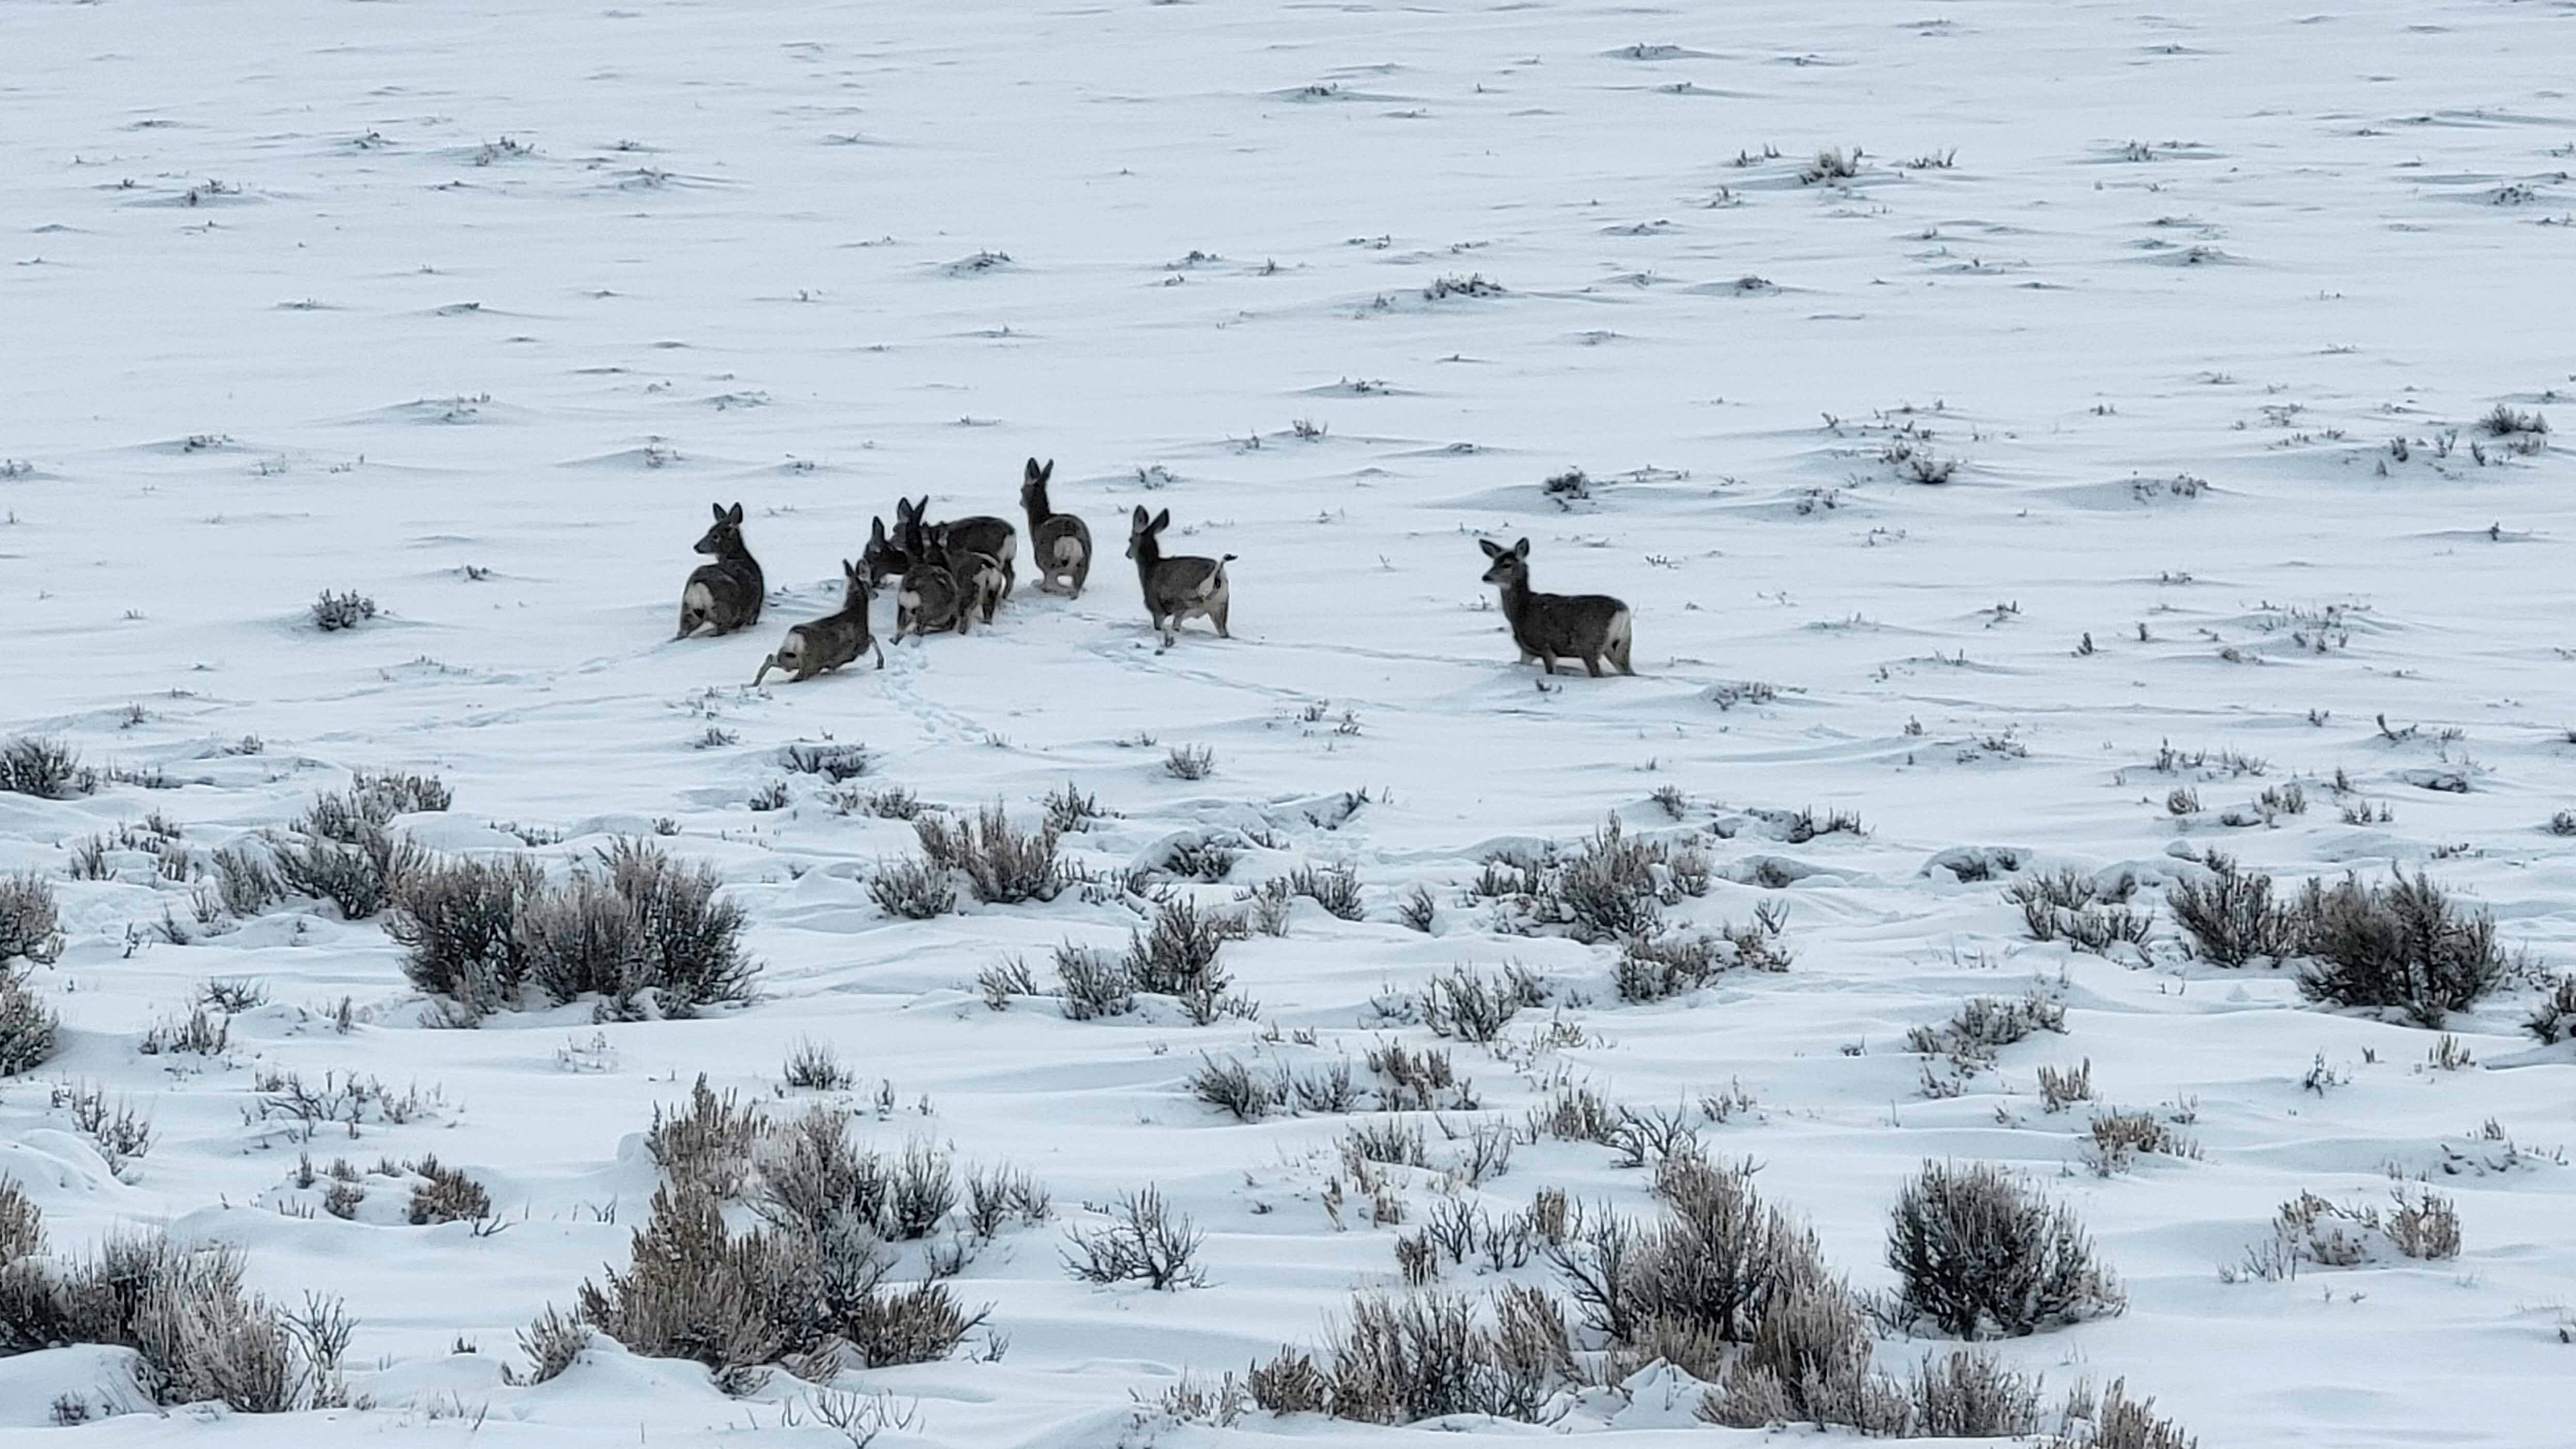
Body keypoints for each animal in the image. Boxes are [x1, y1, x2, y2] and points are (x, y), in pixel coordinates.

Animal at [677, 502, 764, 639]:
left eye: (715, 536)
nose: (696, 547)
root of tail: (697, 586)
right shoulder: (755, 611)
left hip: (688, 611)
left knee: (682, 631)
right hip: (725, 609)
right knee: (722, 628)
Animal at [753, 561, 882, 684]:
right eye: (868, 585)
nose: (876, 595)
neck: (857, 612)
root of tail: (794, 638)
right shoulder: (861, 645)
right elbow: (873, 638)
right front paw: (881, 663)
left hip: (790, 659)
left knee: (771, 658)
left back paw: (755, 683)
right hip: (809, 664)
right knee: (797, 677)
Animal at [1018, 457, 1091, 596]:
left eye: (1022, 489)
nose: (1020, 503)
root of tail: (1069, 541)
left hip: (1046, 562)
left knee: (1052, 584)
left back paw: (1040, 585)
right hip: (1082, 566)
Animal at [1126, 506, 1232, 651]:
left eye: (1130, 540)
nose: (1127, 554)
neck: (1150, 566)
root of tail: (1217, 572)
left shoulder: (1156, 607)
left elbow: (1158, 624)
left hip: (1188, 602)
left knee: (1177, 623)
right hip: (1220, 606)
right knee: (1223, 631)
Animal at [1477, 537, 1633, 677]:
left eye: (1507, 565)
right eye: (1493, 562)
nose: (1486, 577)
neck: (1521, 609)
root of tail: (1622, 611)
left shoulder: (1544, 645)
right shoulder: (1526, 651)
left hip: (1590, 644)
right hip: (1621, 645)